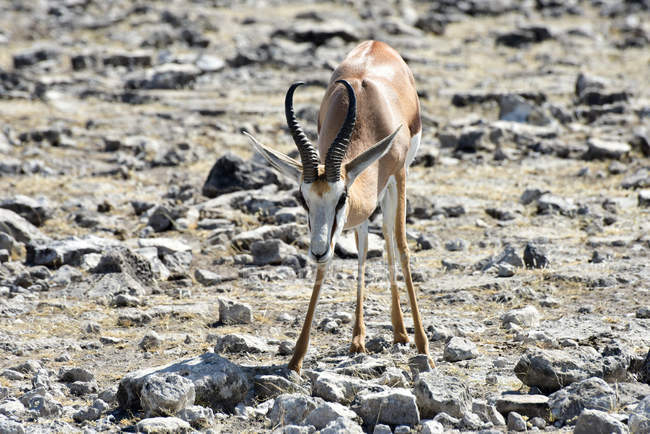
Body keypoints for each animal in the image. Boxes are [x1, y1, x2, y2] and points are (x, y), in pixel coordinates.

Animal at [243, 40, 430, 372]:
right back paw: (362, 338)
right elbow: (337, 261)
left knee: (390, 240)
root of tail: (376, 43)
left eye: (341, 197)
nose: (317, 251)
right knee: (366, 246)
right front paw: (296, 358)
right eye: (303, 200)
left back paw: (401, 333)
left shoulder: (398, 175)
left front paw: (425, 349)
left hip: (393, 185)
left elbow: (403, 247)